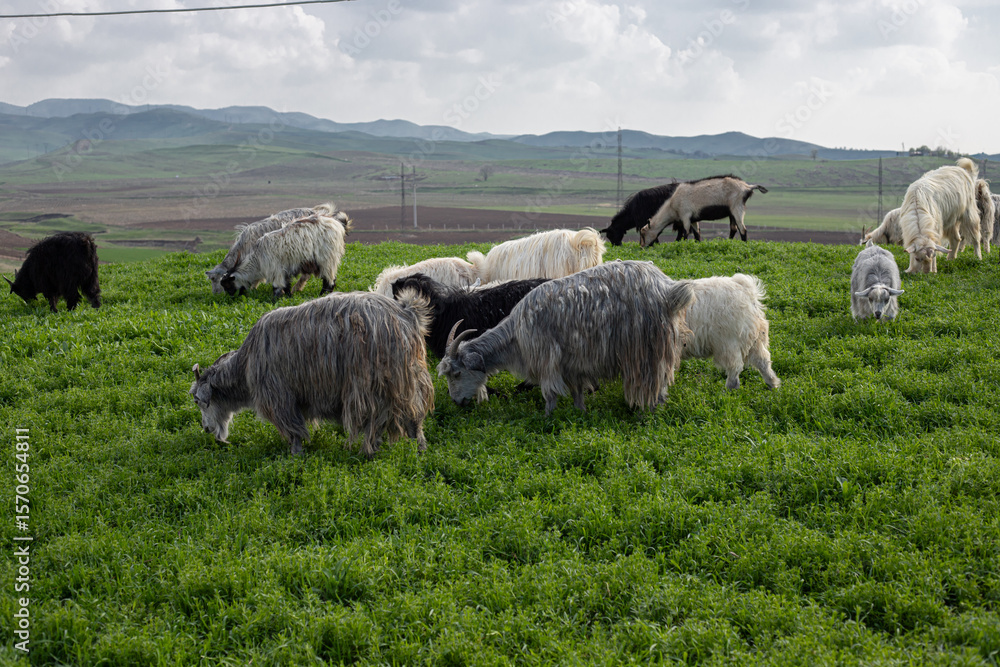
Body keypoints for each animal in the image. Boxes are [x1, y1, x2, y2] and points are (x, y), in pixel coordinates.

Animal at [190, 290, 434, 457]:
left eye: (200, 401)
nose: (206, 429)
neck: (246, 363)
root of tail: (408, 314)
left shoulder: (279, 396)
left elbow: (293, 429)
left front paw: (295, 455)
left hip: (373, 384)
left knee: (378, 419)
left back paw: (370, 451)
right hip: (410, 381)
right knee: (414, 418)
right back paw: (419, 451)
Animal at [437, 261, 694, 415]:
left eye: (457, 373)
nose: (456, 402)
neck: (516, 336)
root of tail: (667, 289)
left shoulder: (547, 359)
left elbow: (550, 393)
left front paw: (547, 418)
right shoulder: (573, 363)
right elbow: (577, 391)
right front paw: (580, 413)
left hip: (647, 348)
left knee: (655, 380)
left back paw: (648, 412)